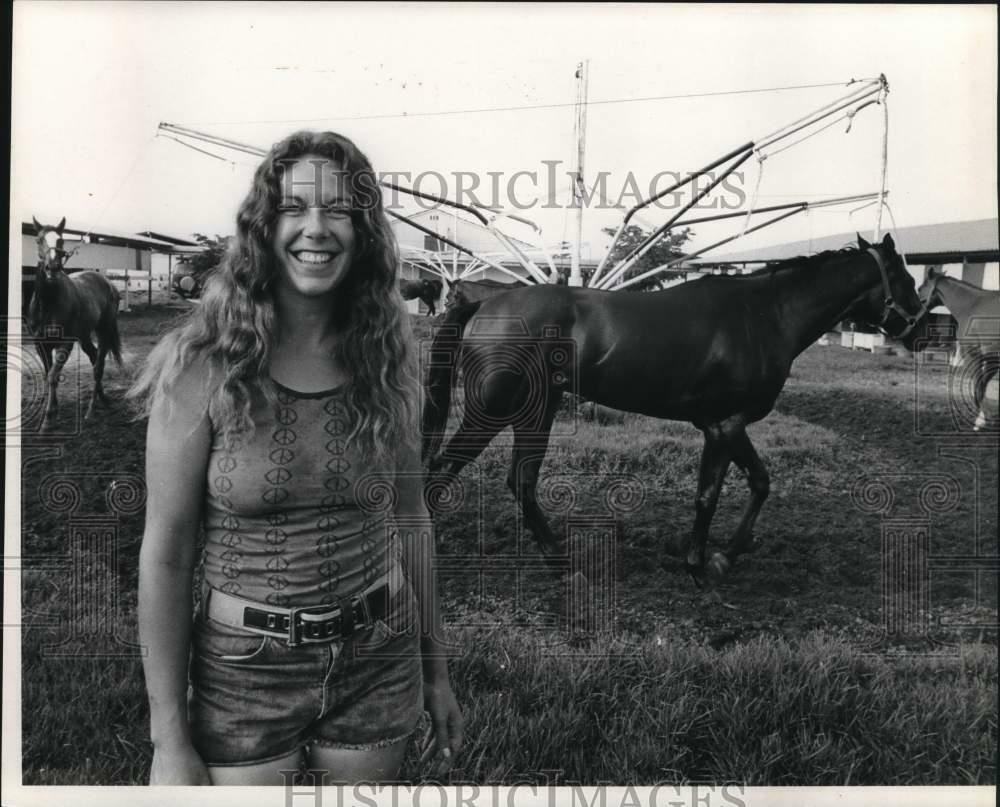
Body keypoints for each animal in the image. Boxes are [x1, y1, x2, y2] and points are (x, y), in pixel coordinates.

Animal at [27, 215, 122, 430]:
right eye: (38, 239)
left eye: (61, 240)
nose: (52, 268)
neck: (48, 304)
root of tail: (108, 283)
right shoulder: (41, 345)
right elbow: (48, 374)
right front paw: (53, 412)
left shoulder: (65, 344)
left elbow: (53, 376)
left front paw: (48, 419)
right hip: (84, 335)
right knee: (94, 357)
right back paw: (102, 398)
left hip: (103, 330)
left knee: (99, 364)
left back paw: (91, 410)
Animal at [422, 234, 928, 580]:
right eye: (905, 278)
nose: (923, 331)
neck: (763, 316)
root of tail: (485, 302)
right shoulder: (726, 425)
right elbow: (725, 491)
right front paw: (706, 561)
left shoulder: (719, 427)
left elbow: (742, 486)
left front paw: (715, 555)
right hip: (494, 410)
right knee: (444, 469)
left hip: (538, 409)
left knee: (520, 481)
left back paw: (560, 558)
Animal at [916, 266, 996, 430]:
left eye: (920, 288)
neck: (972, 305)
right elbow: (982, 385)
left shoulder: (975, 354)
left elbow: (979, 386)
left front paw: (979, 421)